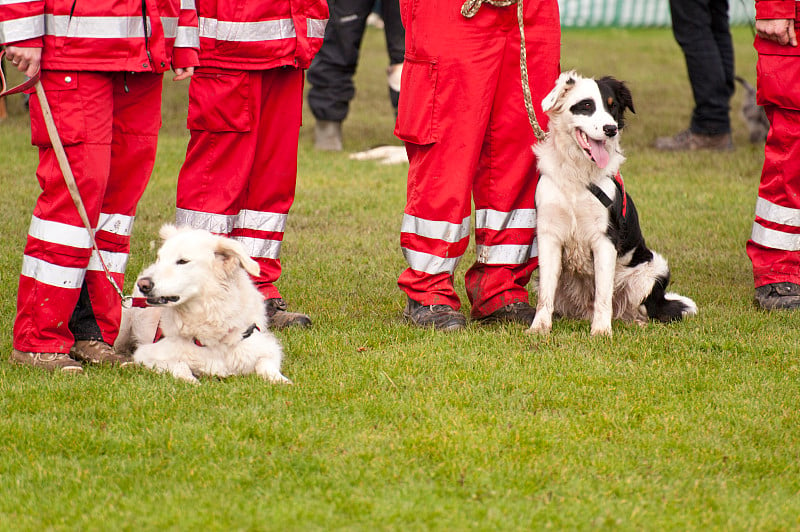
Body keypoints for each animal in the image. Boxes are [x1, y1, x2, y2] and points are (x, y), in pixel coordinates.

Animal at [117, 222, 292, 384]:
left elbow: (266, 366)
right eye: (160, 259)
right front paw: (192, 381)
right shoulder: (148, 353)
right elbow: (180, 366)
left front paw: (281, 381)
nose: (143, 284)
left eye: (183, 261)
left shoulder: (266, 347)